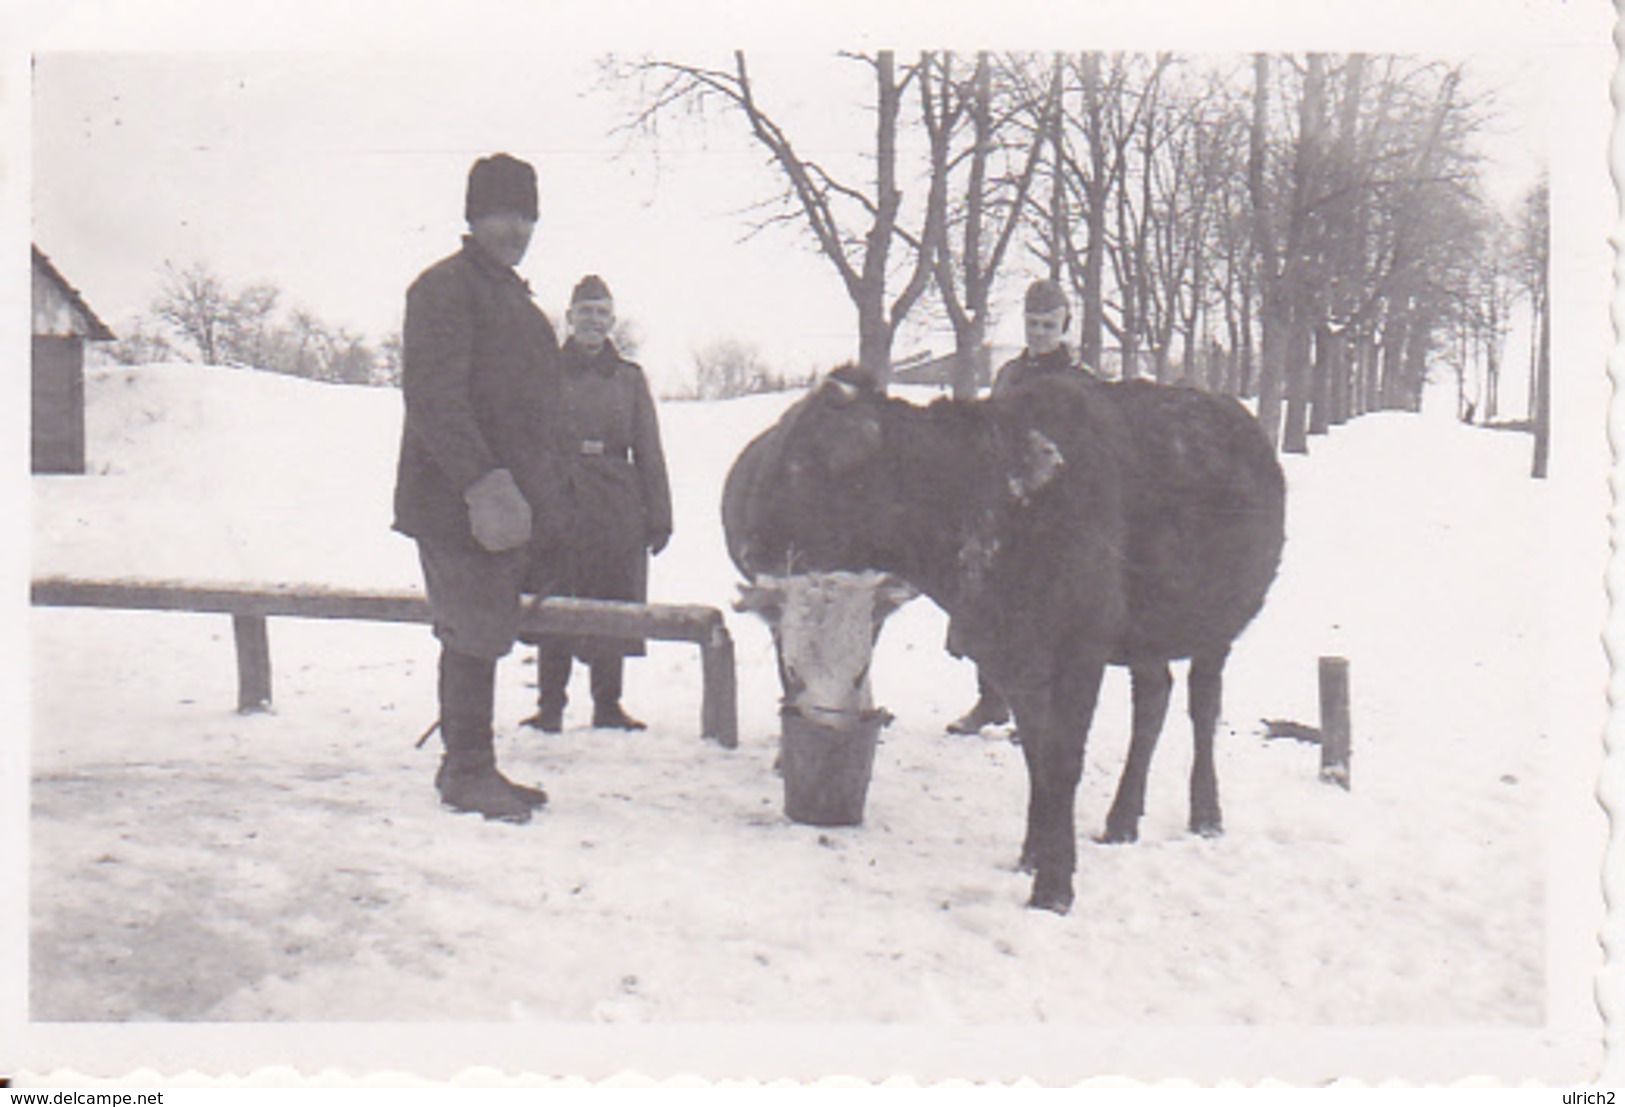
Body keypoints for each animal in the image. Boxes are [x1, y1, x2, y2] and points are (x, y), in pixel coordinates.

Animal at [724, 367, 1280, 910]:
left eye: (801, 462)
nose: (752, 545)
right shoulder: (1011, 652)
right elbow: (1037, 754)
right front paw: (1034, 851)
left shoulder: (1079, 650)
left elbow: (1063, 759)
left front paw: (1055, 883)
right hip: (1145, 635)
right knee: (1153, 700)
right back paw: (1122, 818)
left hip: (1215, 625)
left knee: (1203, 705)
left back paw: (1205, 813)